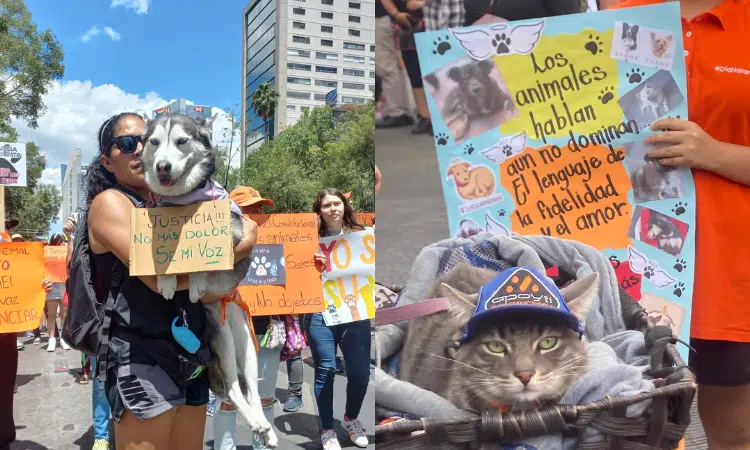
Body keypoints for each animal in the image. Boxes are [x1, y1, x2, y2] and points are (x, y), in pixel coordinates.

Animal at [140, 113, 278, 446]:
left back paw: (264, 427)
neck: (182, 203)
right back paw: (258, 424)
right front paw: (167, 282)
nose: (162, 166)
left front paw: (197, 282)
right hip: (222, 340)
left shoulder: (233, 235)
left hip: (244, 344)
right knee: (232, 388)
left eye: (181, 141)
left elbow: (203, 261)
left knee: (249, 389)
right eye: (154, 142)